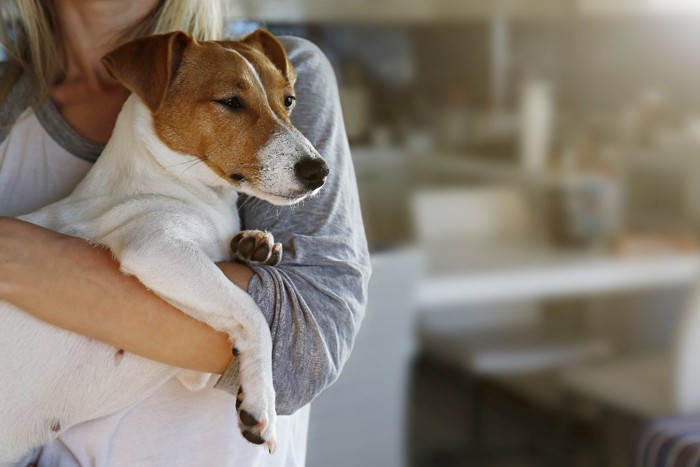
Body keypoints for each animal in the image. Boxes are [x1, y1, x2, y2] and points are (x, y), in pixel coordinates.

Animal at [0, 28, 328, 464]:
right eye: (231, 101)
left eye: (288, 100)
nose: (319, 171)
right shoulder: (155, 247)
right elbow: (255, 315)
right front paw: (262, 401)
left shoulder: (191, 368)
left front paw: (255, 243)